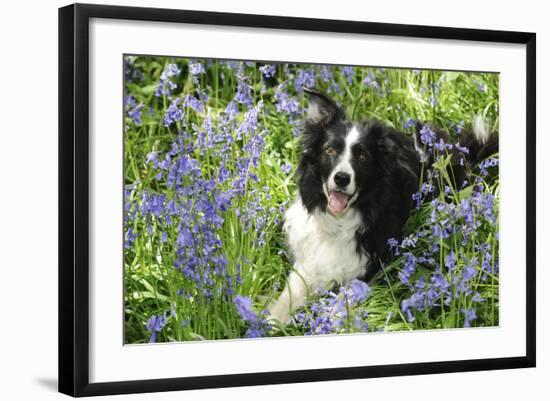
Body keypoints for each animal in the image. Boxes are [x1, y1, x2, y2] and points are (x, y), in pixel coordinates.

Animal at [268, 86, 500, 322]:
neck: (339, 222)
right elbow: (288, 297)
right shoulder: (309, 260)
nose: (342, 178)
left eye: (362, 156)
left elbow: (338, 306)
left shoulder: (371, 264)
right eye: (329, 150)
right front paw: (268, 321)